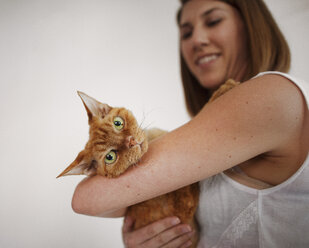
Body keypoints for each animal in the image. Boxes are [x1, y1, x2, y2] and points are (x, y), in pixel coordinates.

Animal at [57, 78, 238, 247]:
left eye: (118, 123)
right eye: (110, 157)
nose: (131, 141)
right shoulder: (183, 209)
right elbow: (205, 108)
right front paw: (226, 88)